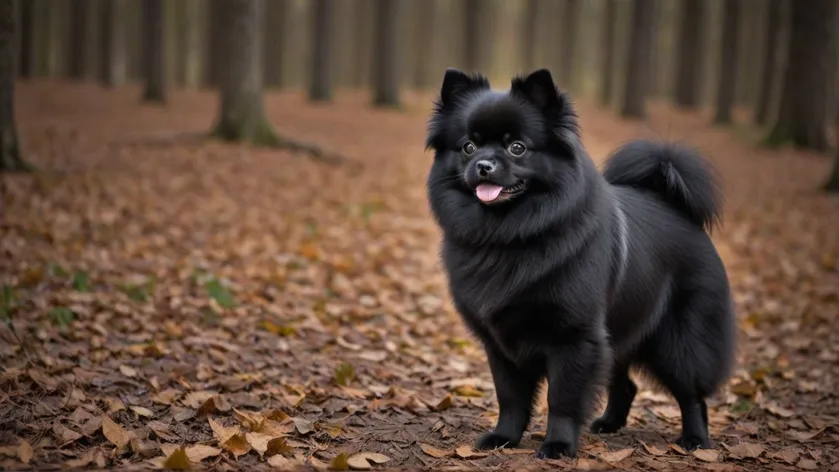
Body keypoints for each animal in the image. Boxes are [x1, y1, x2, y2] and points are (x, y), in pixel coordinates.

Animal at [426, 68, 736, 460]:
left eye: (517, 147)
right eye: (468, 146)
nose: (483, 164)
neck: (510, 235)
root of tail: (677, 209)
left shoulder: (574, 338)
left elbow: (562, 399)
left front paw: (558, 445)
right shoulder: (501, 344)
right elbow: (510, 398)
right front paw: (503, 437)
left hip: (677, 342)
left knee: (692, 394)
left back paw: (695, 440)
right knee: (626, 385)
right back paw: (609, 424)